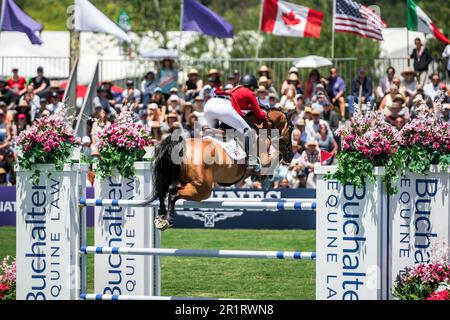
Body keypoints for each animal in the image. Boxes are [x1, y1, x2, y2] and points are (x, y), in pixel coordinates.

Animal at [150, 107, 292, 230]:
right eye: (291, 128)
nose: (290, 156)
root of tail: (181, 147)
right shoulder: (265, 161)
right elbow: (276, 155)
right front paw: (264, 175)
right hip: (202, 188)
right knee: (173, 193)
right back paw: (168, 219)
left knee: (165, 190)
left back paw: (161, 216)